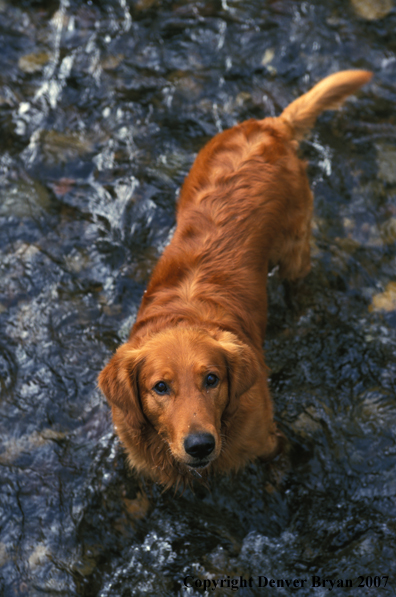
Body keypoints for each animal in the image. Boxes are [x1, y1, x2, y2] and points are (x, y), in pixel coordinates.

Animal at [98, 71, 372, 488]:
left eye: (212, 379)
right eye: (160, 387)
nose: (199, 445)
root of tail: (268, 127)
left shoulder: (269, 440)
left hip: (295, 247)